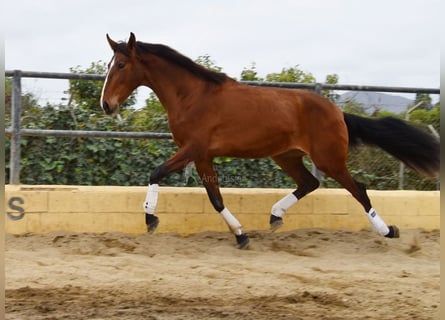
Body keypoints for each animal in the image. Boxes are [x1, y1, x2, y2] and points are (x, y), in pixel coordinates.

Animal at [99, 32, 438, 249]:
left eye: (121, 65)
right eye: (108, 65)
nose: (106, 105)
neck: (193, 97)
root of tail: (338, 112)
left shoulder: (192, 149)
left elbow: (156, 172)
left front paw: (150, 219)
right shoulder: (202, 155)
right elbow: (215, 198)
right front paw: (240, 235)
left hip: (329, 159)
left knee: (359, 189)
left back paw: (387, 231)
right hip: (286, 155)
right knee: (310, 183)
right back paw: (275, 216)